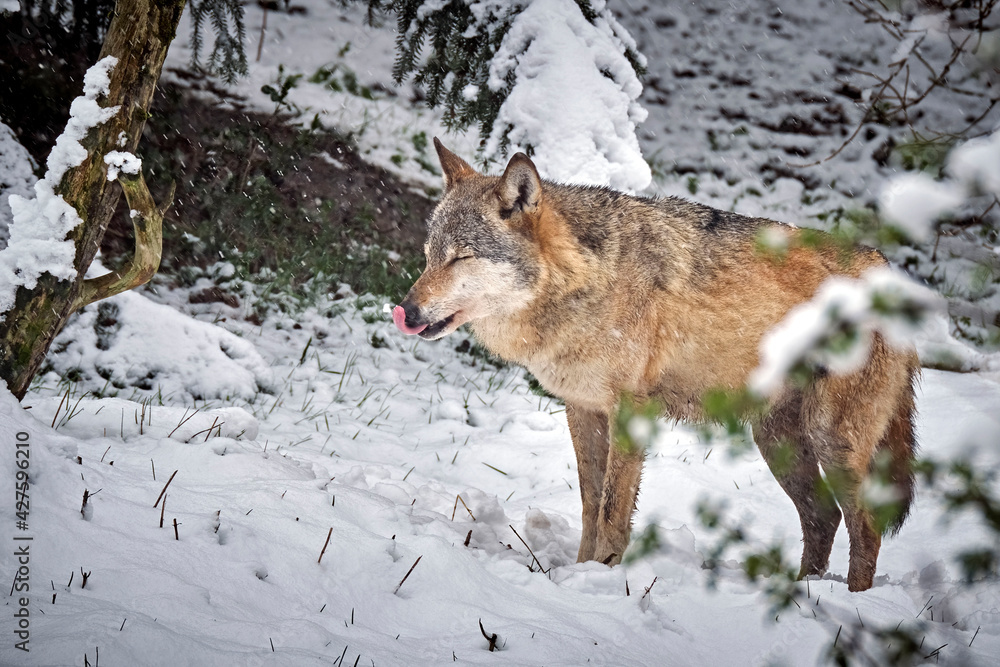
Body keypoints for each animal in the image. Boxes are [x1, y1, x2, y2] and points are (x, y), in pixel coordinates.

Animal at [393, 139, 919, 592]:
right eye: (429, 256)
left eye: (462, 257)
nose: (406, 312)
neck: (587, 280)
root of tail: (888, 272)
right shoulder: (582, 410)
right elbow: (589, 505)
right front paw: (576, 574)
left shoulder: (631, 413)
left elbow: (611, 513)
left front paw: (600, 578)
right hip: (777, 440)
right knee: (823, 518)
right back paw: (799, 594)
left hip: (831, 439)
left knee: (865, 525)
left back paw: (850, 602)